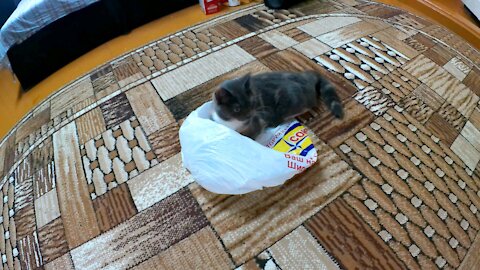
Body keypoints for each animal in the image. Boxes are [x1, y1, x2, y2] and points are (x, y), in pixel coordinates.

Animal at [212, 70, 344, 139]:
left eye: (252, 103)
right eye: (237, 109)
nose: (249, 115)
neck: (234, 124)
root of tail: (308, 75)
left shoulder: (259, 117)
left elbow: (253, 131)